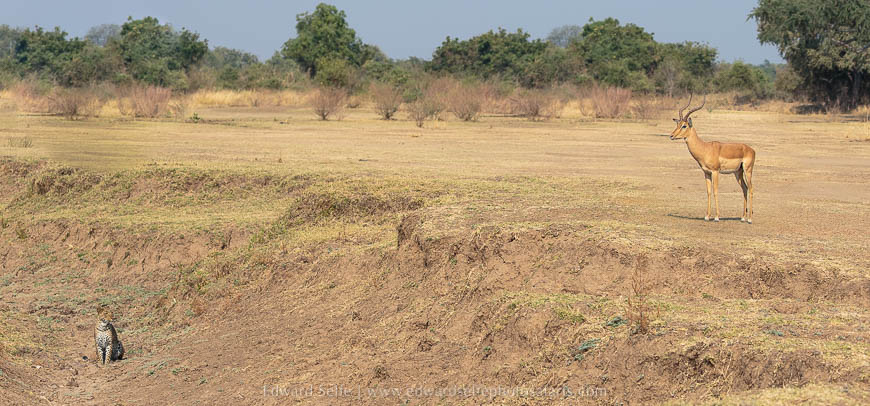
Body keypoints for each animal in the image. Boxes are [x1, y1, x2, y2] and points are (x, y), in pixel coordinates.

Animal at [670, 95, 756, 223]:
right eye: (677, 124)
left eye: (684, 125)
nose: (671, 135)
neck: (705, 148)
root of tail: (751, 149)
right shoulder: (706, 173)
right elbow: (709, 192)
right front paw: (707, 216)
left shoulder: (715, 172)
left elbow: (715, 191)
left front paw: (716, 217)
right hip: (738, 173)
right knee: (744, 188)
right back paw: (743, 217)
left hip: (748, 171)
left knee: (751, 189)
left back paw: (749, 219)